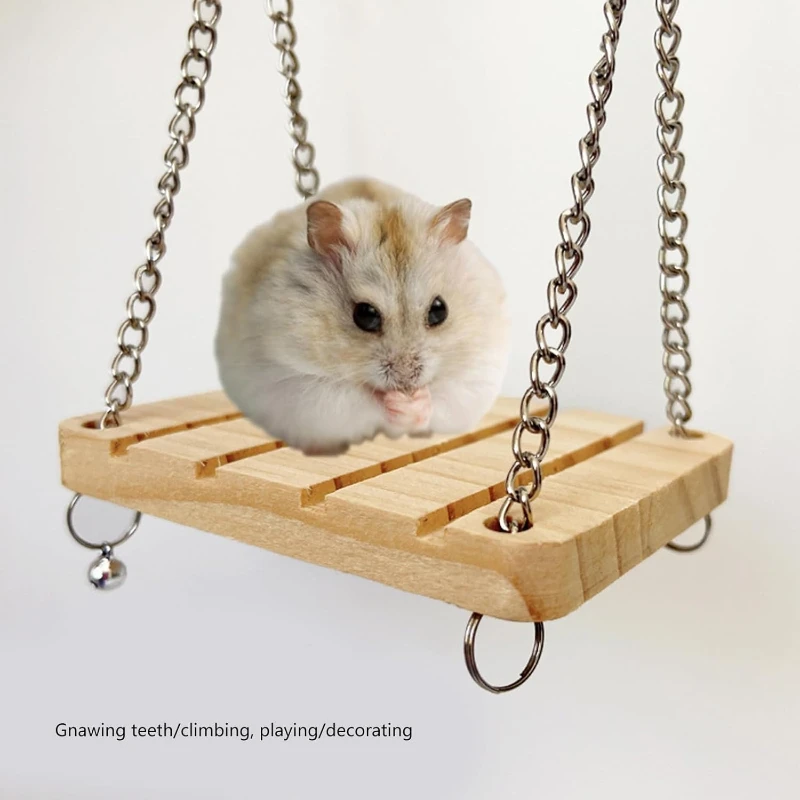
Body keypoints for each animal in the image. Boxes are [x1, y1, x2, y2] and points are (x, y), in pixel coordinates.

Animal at [214, 178, 511, 455]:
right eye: (365, 315)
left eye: (439, 310)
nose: (406, 382)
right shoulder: (300, 384)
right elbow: (361, 399)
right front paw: (397, 402)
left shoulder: (476, 372)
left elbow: (442, 396)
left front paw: (414, 402)